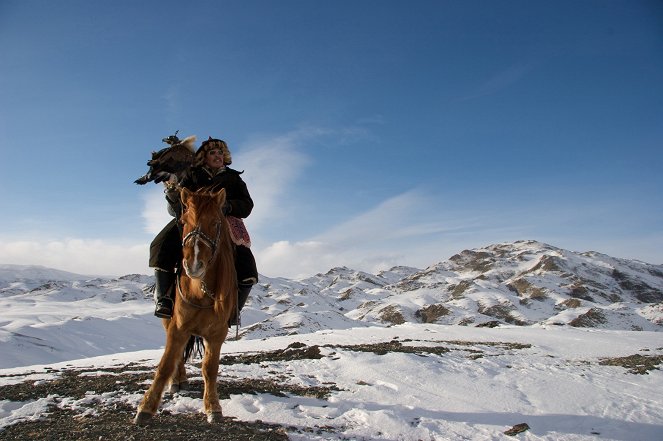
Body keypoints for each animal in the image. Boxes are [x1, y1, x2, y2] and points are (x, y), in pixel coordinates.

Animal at [135, 186, 239, 422]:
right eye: (183, 221)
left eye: (216, 223)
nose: (194, 265)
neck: (200, 292)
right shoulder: (178, 327)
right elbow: (165, 365)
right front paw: (146, 408)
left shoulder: (217, 334)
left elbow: (210, 368)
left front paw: (213, 407)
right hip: (168, 321)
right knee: (176, 357)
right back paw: (178, 381)